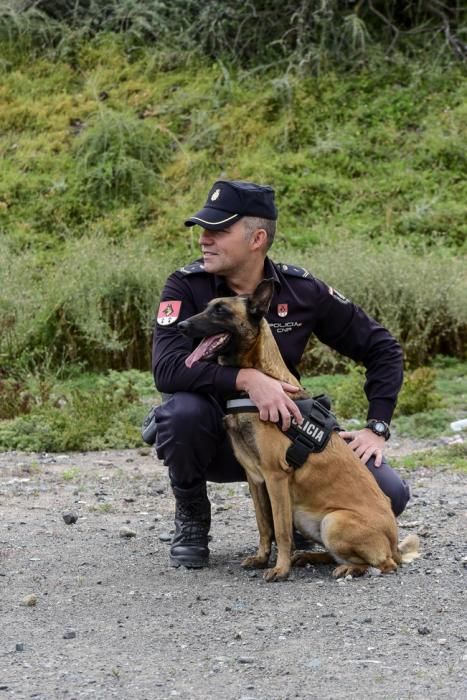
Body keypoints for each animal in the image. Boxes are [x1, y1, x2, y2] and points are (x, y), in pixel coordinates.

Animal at [179, 278, 420, 580]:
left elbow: (281, 531)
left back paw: (347, 567)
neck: (258, 383)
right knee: (336, 554)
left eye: (220, 311)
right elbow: (263, 525)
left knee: (383, 564)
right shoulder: (255, 480)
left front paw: (280, 569)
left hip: (333, 521)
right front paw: (262, 558)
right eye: (207, 307)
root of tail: (393, 543)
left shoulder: (275, 478)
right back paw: (308, 557)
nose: (181, 326)